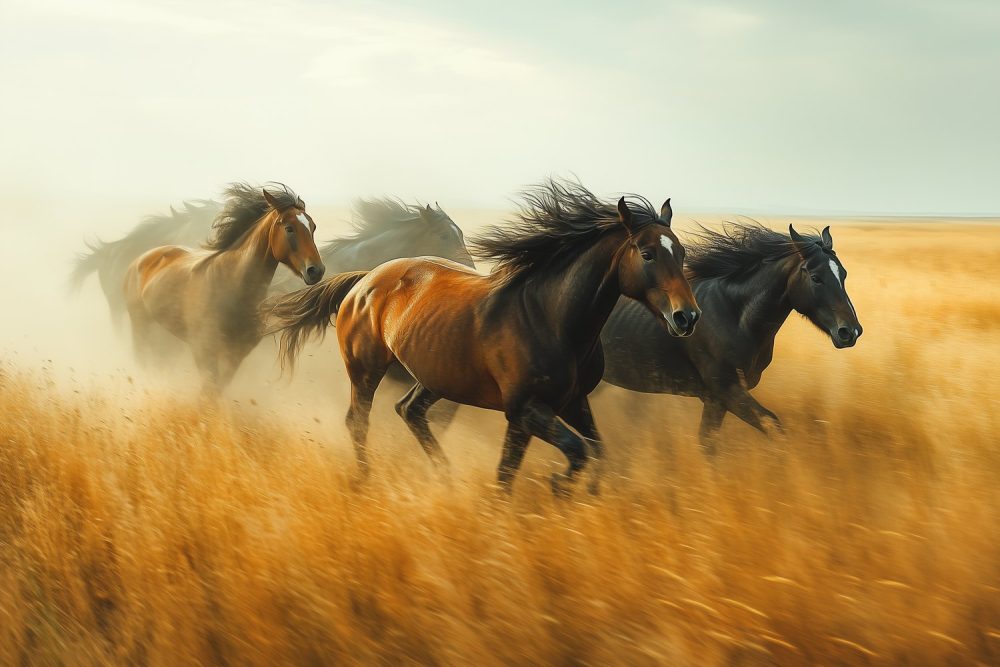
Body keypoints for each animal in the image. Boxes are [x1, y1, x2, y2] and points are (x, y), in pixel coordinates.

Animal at [124, 182, 325, 395]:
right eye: (289, 228)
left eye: (313, 226)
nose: (316, 270)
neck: (232, 286)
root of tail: (139, 261)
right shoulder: (204, 350)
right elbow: (209, 391)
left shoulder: (236, 354)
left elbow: (218, 390)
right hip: (140, 325)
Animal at [600, 221, 862, 453]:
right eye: (816, 278)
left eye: (844, 274)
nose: (851, 331)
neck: (735, 316)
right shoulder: (726, 390)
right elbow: (772, 425)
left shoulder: (716, 400)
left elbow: (708, 443)